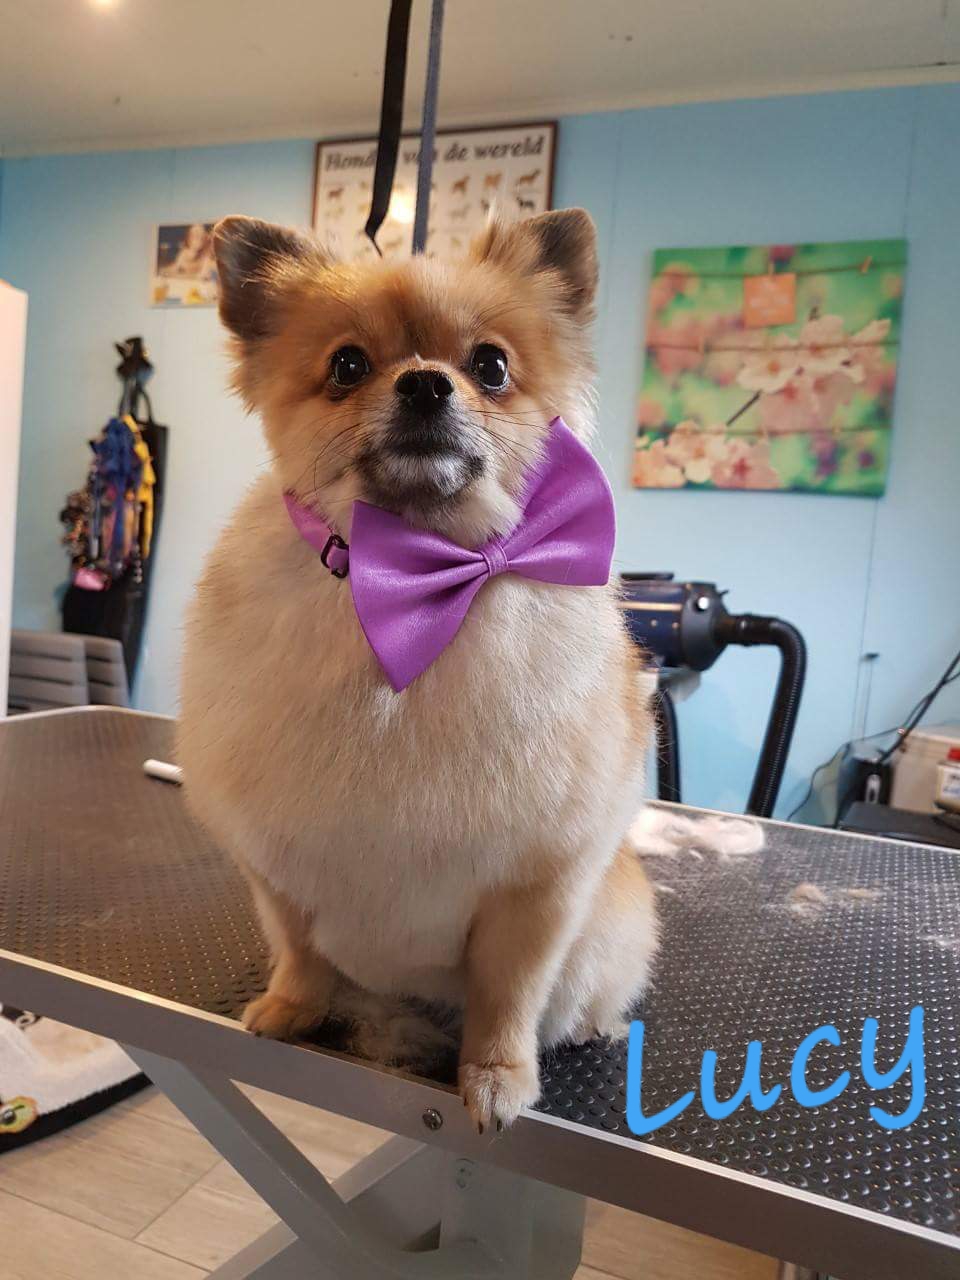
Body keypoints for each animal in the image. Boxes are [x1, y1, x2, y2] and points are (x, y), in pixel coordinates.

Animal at [178, 208, 658, 1130]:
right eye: (347, 365)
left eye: (492, 365)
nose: (427, 385)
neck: (410, 575)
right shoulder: (276, 860)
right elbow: (298, 946)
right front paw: (292, 1007)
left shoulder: (537, 886)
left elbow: (509, 994)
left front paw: (498, 1076)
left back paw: (589, 1026)